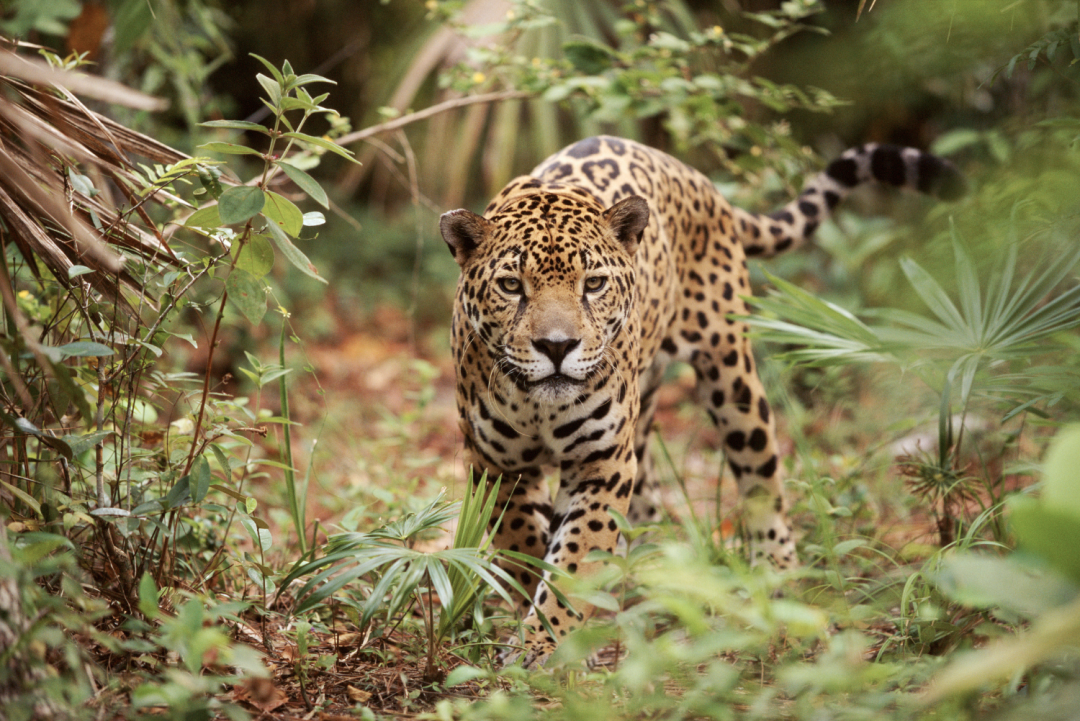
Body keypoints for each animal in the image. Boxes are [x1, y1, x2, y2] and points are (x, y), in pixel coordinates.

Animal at [439, 135, 964, 668]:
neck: (540, 407)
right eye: (511, 286)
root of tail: (695, 178)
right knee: (648, 502)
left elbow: (575, 556)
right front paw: (538, 630)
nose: (557, 346)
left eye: (594, 284)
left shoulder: (601, 462)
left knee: (762, 480)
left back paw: (777, 584)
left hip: (732, 375)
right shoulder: (495, 464)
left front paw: (548, 641)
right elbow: (523, 545)